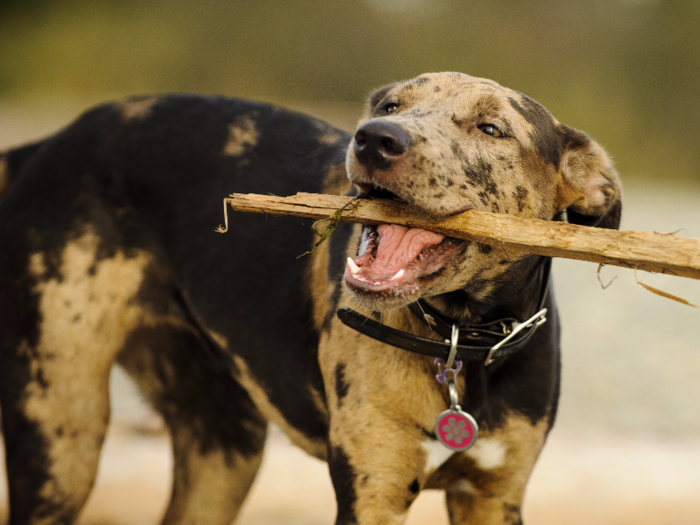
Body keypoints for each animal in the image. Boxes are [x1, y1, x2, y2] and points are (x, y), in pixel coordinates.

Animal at [0, 70, 624, 524]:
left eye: (492, 129)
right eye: (390, 106)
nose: (375, 138)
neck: (461, 339)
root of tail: (50, 144)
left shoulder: (494, 495)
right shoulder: (373, 490)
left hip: (224, 448)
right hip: (60, 435)